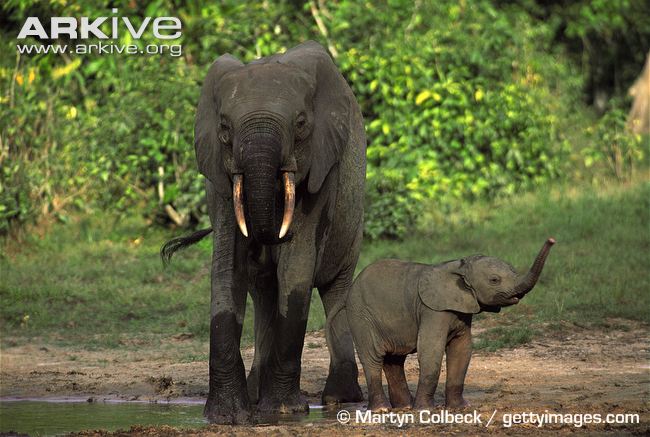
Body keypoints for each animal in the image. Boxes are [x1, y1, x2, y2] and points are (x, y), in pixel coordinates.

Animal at [161, 41, 366, 423]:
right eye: (225, 128)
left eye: (300, 125)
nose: (268, 236)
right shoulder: (221, 179)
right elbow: (227, 268)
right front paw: (227, 416)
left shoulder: (322, 169)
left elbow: (296, 269)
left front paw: (284, 411)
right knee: (264, 293)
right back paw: (257, 394)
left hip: (352, 223)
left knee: (335, 290)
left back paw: (339, 398)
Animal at [346, 238, 555, 412]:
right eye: (494, 280)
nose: (552, 240)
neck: (460, 267)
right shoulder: (433, 310)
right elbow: (431, 350)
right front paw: (424, 410)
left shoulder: (461, 311)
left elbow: (462, 350)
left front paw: (460, 408)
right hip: (361, 316)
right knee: (373, 357)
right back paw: (382, 410)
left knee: (394, 360)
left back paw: (404, 407)